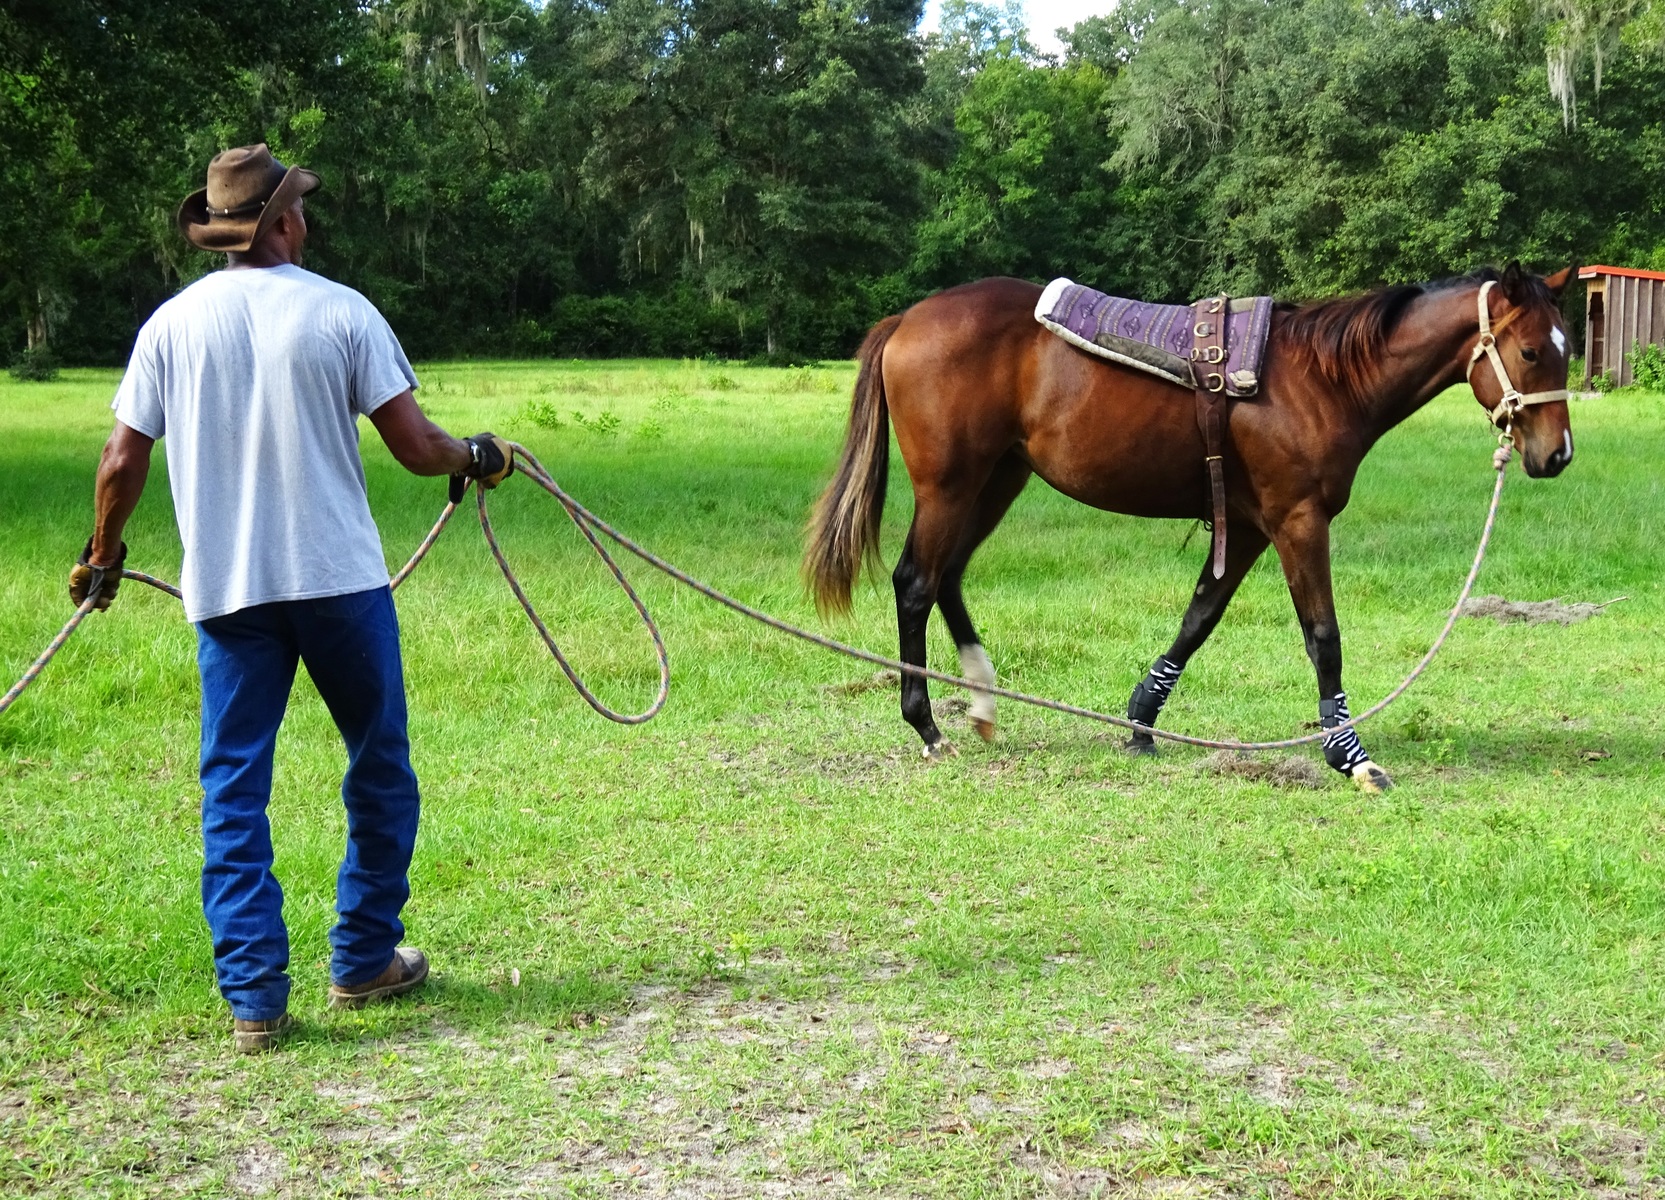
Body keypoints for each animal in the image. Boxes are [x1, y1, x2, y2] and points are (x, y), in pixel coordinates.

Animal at [803, 263, 1575, 791]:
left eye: (1567, 348)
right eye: (1533, 352)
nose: (1557, 456)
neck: (1320, 379)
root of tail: (908, 319)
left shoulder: (1250, 526)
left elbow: (1197, 619)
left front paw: (1141, 720)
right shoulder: (1297, 520)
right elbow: (1322, 637)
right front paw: (1349, 755)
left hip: (997, 480)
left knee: (948, 578)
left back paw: (983, 698)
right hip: (951, 486)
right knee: (915, 582)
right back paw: (928, 725)